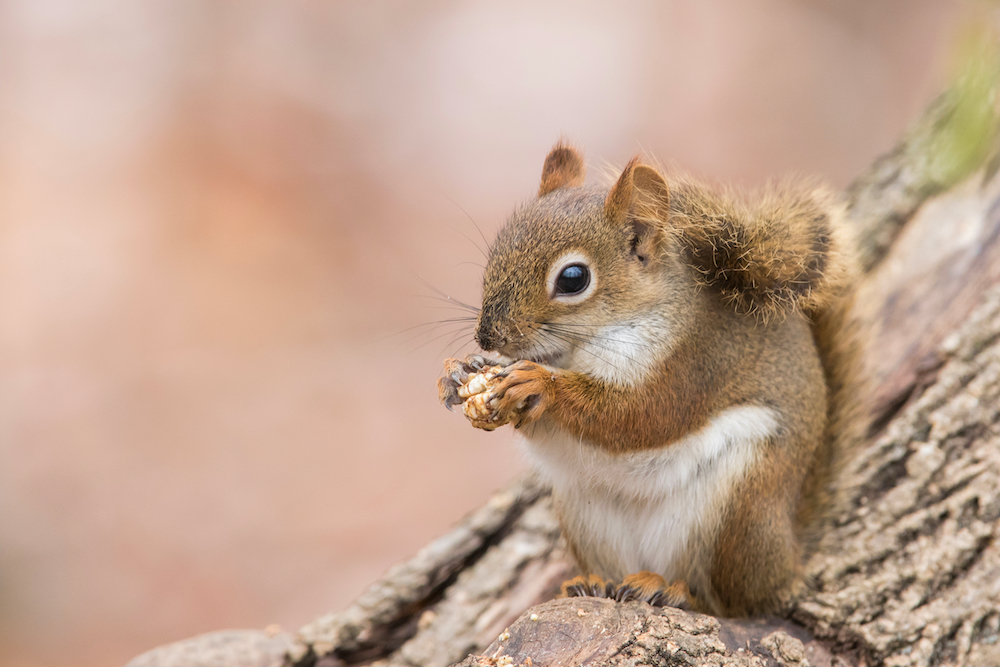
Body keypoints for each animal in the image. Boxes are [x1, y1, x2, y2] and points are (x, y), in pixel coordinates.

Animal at [438, 144, 860, 620]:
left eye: (573, 278)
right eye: (497, 251)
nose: (487, 336)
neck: (582, 346)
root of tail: (788, 560)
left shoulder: (693, 363)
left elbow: (640, 418)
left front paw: (540, 384)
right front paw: (459, 372)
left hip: (739, 509)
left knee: (733, 603)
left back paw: (675, 591)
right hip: (585, 514)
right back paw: (592, 583)